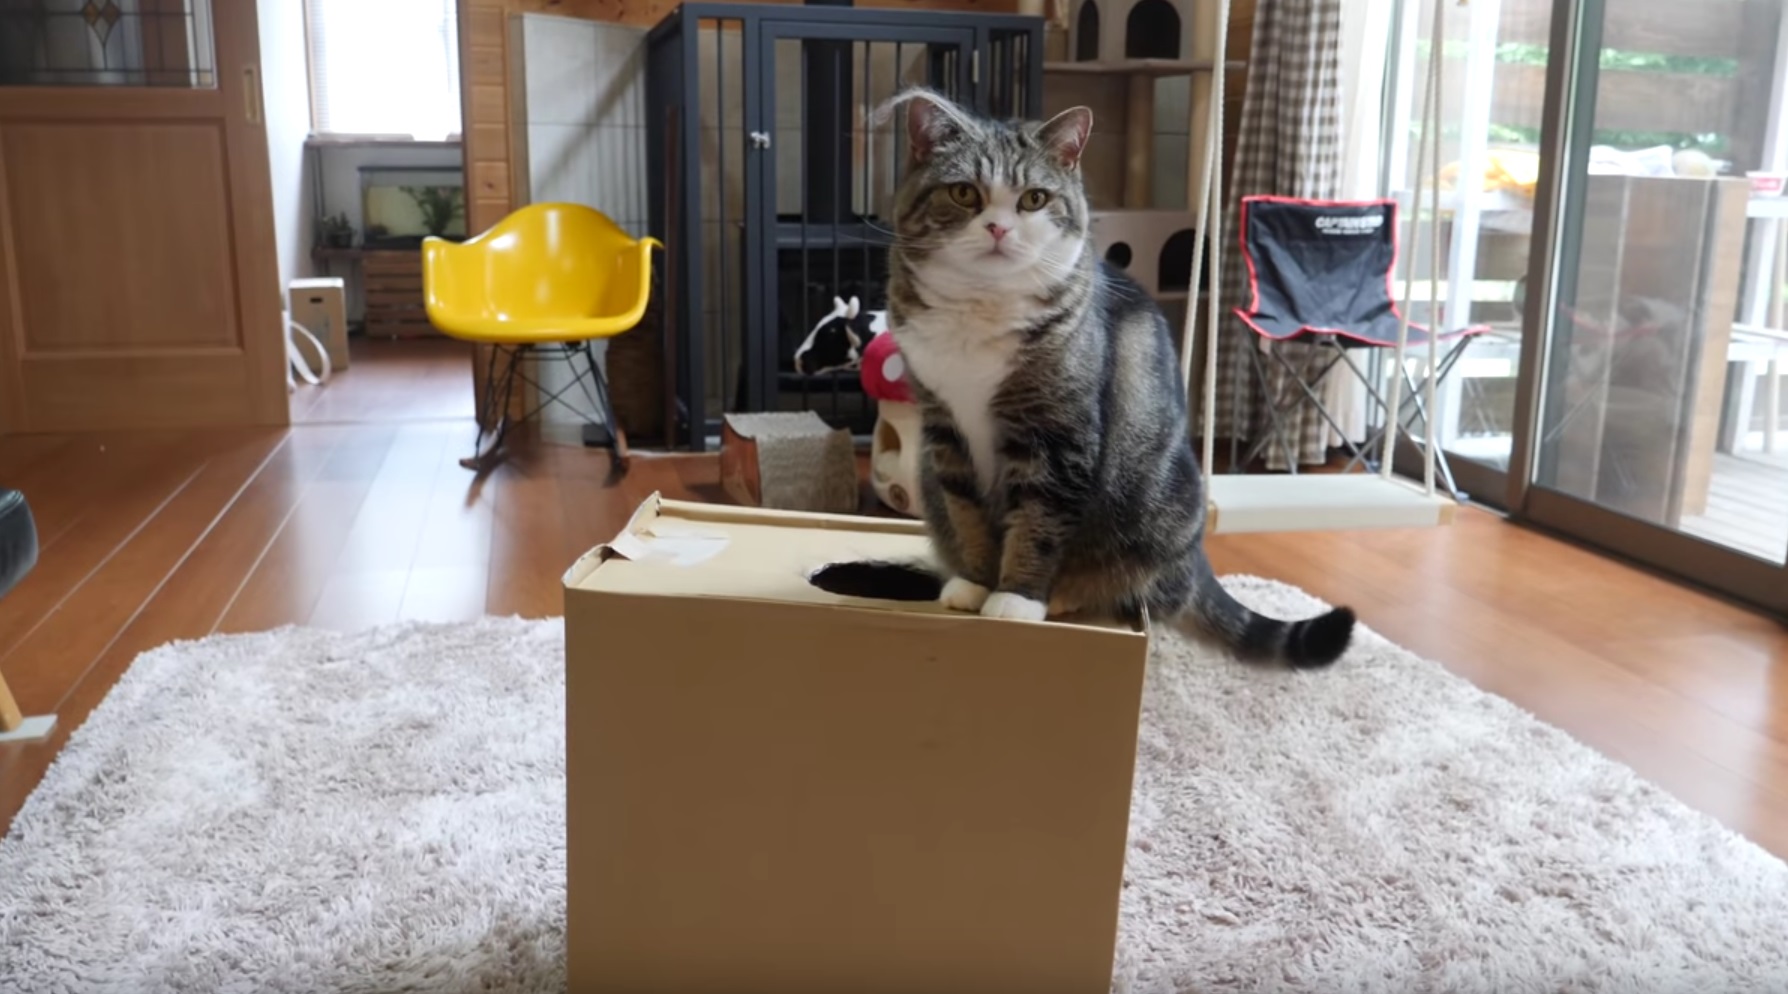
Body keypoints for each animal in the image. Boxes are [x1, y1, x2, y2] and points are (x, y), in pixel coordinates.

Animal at [879, 87, 1351, 668]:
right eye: (964, 192)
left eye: (1034, 199)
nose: (998, 229)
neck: (980, 309)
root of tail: (1194, 561)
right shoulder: (944, 427)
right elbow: (966, 511)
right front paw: (974, 582)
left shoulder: (1058, 432)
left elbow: (1039, 520)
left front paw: (1016, 597)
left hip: (1155, 510)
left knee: (1135, 586)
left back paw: (1067, 594)